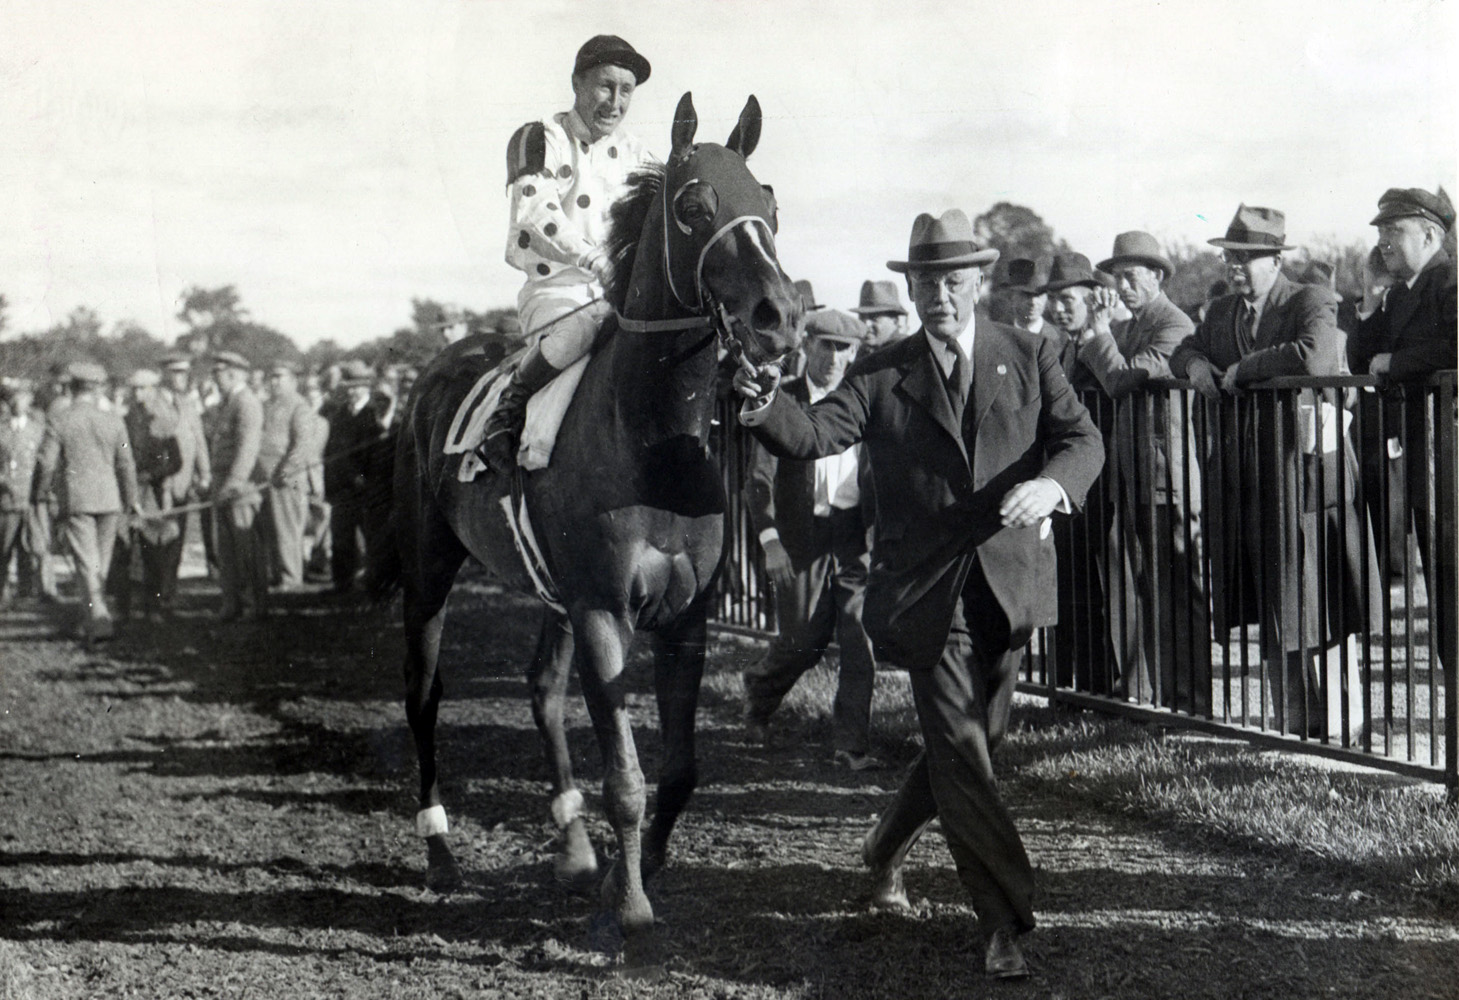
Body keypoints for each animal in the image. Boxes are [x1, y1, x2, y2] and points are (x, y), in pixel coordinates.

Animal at [379, 95, 799, 969]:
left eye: (770, 206)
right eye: (694, 204)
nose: (779, 320)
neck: (650, 438)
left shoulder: (682, 618)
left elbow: (679, 769)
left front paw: (633, 869)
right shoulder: (605, 610)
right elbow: (628, 776)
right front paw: (631, 905)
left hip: (554, 594)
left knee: (542, 689)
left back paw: (572, 851)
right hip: (430, 570)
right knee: (422, 693)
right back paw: (438, 851)